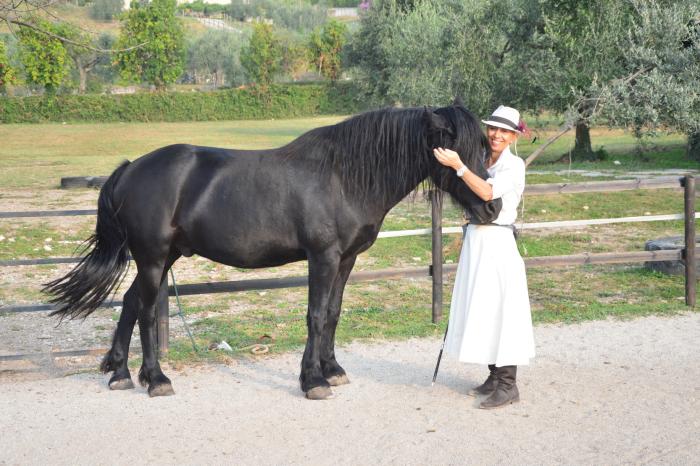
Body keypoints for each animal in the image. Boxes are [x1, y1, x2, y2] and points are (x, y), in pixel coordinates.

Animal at [44, 99, 502, 400]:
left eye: (484, 147)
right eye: (453, 149)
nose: (492, 206)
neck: (344, 176)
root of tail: (131, 167)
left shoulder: (347, 259)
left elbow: (333, 314)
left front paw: (332, 370)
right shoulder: (323, 257)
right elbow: (315, 315)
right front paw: (313, 381)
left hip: (162, 257)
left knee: (130, 302)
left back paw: (120, 372)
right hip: (154, 258)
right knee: (145, 310)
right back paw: (156, 379)